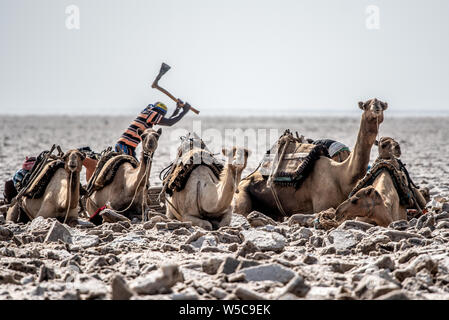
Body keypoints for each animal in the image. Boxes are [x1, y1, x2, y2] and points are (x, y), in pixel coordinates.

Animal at [234, 99, 388, 221]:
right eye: (366, 104)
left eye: (381, 103)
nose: (376, 108)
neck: (342, 174)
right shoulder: (322, 206)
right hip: (241, 196)